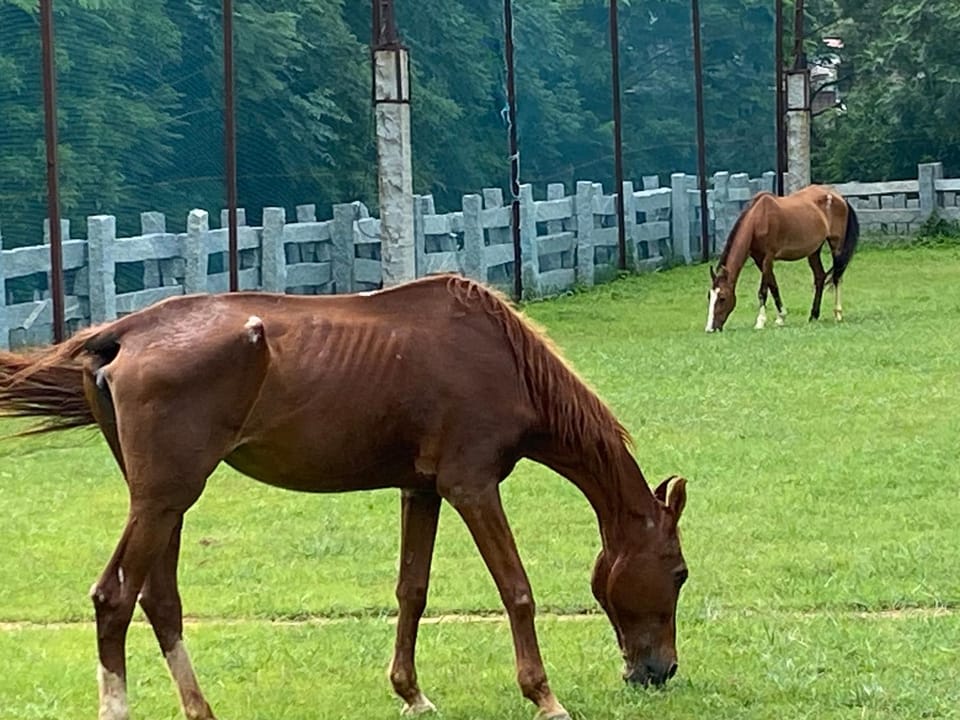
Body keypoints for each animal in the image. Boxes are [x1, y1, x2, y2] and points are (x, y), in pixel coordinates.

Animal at [0, 274, 689, 720]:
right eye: (679, 572)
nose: (661, 672)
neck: (502, 359)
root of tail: (123, 332)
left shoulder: (422, 489)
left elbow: (412, 591)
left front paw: (411, 692)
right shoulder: (472, 487)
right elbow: (516, 590)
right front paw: (544, 697)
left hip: (165, 504)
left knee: (159, 601)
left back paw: (200, 708)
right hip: (161, 501)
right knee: (114, 598)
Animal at [705, 184, 860, 332]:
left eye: (722, 298)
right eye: (709, 296)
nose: (710, 329)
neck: (758, 219)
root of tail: (839, 197)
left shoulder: (768, 257)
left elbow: (763, 291)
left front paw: (760, 321)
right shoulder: (759, 259)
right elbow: (773, 286)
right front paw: (781, 317)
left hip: (836, 245)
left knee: (837, 277)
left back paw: (838, 314)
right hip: (814, 250)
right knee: (820, 277)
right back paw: (813, 315)